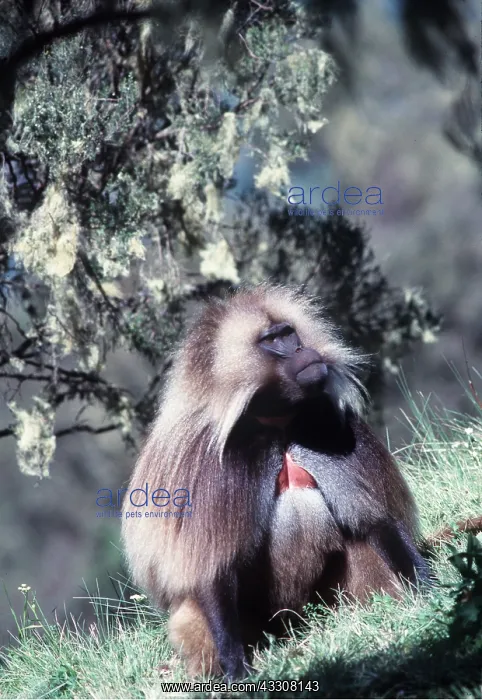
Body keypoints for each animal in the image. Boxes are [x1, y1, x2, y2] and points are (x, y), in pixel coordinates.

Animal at [121, 283, 431, 680]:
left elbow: (375, 521)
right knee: (194, 612)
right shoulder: (211, 462)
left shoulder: (327, 420)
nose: (302, 350)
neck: (277, 422)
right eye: (272, 340)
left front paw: (429, 586)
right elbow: (211, 573)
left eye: (290, 333)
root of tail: (294, 622)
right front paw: (236, 669)